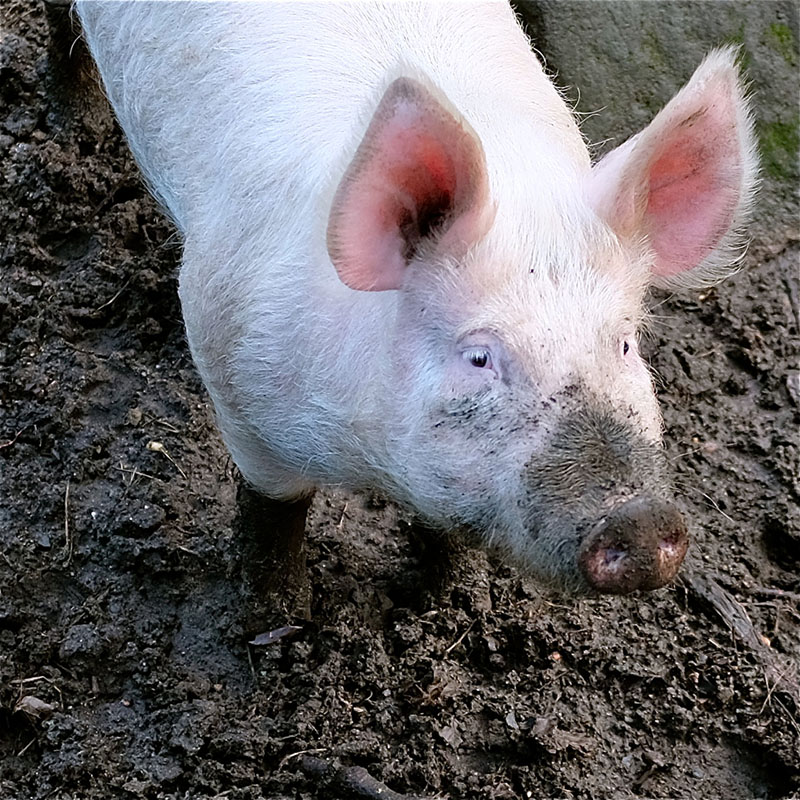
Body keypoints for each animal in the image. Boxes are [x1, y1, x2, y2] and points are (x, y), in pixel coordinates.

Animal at [73, 0, 756, 596]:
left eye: (624, 344)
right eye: (479, 356)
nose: (639, 520)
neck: (368, 463)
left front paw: (442, 597)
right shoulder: (228, 356)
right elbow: (273, 517)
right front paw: (272, 620)